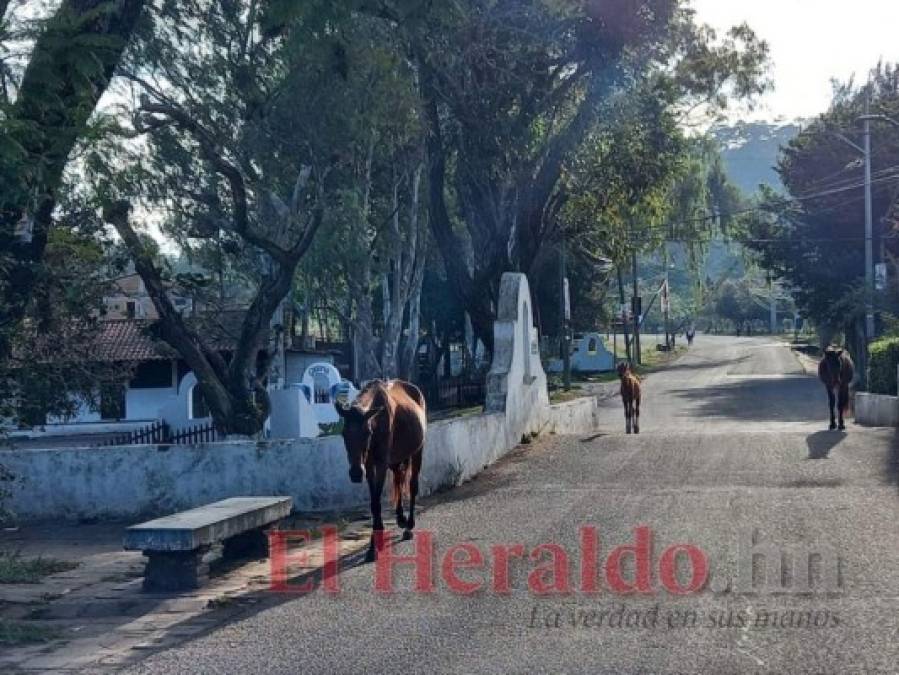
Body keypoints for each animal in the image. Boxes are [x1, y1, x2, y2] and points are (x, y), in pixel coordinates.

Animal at [336, 380, 428, 560]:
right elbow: (374, 503)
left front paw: (374, 546)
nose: (356, 473)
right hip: (397, 459)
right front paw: (374, 544)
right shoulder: (370, 465)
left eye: (368, 432)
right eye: (343, 434)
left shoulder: (381, 464)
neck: (377, 421)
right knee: (399, 479)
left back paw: (409, 525)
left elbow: (377, 501)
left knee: (412, 486)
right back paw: (400, 518)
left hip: (417, 451)